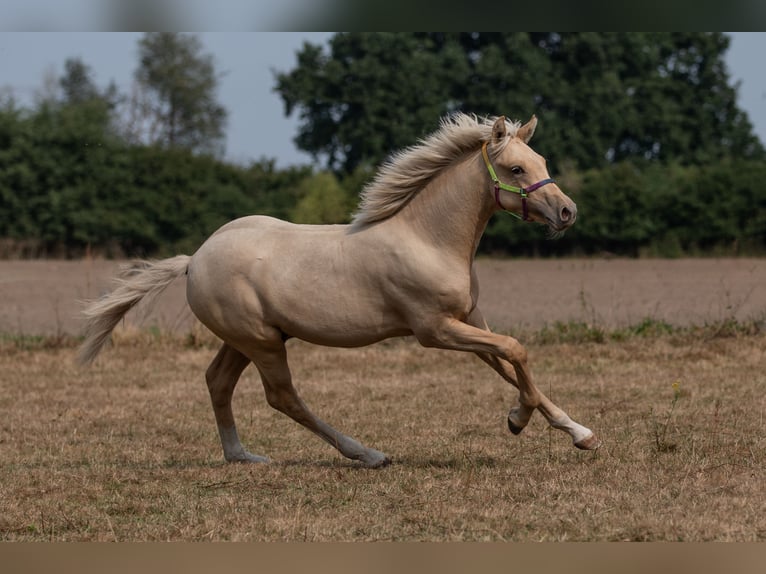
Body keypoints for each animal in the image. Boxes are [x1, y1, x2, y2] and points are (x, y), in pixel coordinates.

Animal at [81, 112, 604, 468]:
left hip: (247, 339)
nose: (568, 212)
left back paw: (242, 456)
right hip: (261, 341)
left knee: (218, 382)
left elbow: (510, 364)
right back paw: (367, 454)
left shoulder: (469, 320)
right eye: (515, 169)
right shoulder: (434, 330)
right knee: (282, 397)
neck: (427, 239)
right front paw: (518, 421)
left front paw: (580, 433)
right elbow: (516, 351)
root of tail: (194, 261)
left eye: (540, 161)